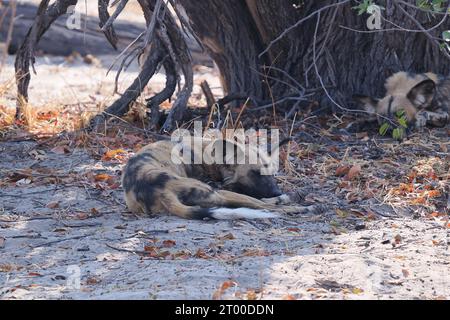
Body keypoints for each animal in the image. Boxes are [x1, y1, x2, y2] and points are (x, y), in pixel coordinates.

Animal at [121, 138, 318, 220]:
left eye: (272, 172)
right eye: (254, 173)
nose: (276, 190)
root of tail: (160, 191)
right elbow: (264, 200)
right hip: (217, 193)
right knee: (265, 206)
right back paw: (302, 206)